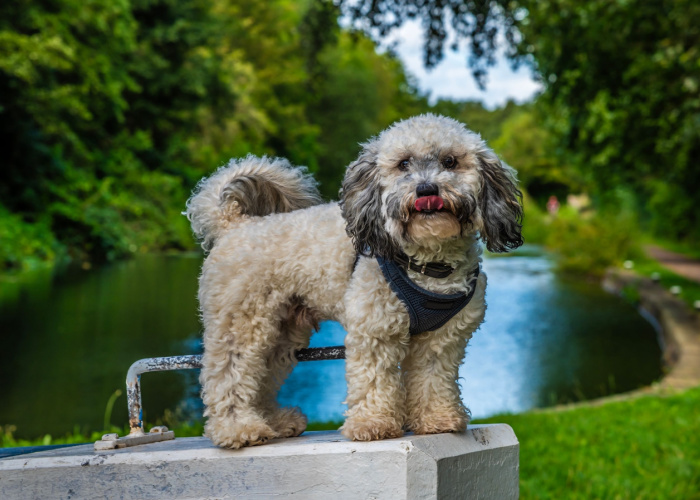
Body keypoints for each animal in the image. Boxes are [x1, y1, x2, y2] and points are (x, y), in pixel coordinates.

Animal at [183, 114, 524, 450]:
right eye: (403, 164)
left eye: (450, 161)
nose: (427, 189)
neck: (429, 266)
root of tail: (235, 224)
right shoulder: (375, 328)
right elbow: (374, 378)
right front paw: (373, 424)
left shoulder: (441, 341)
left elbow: (433, 379)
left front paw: (437, 419)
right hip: (241, 324)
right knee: (228, 374)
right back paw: (238, 428)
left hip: (282, 333)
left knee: (263, 376)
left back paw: (274, 422)